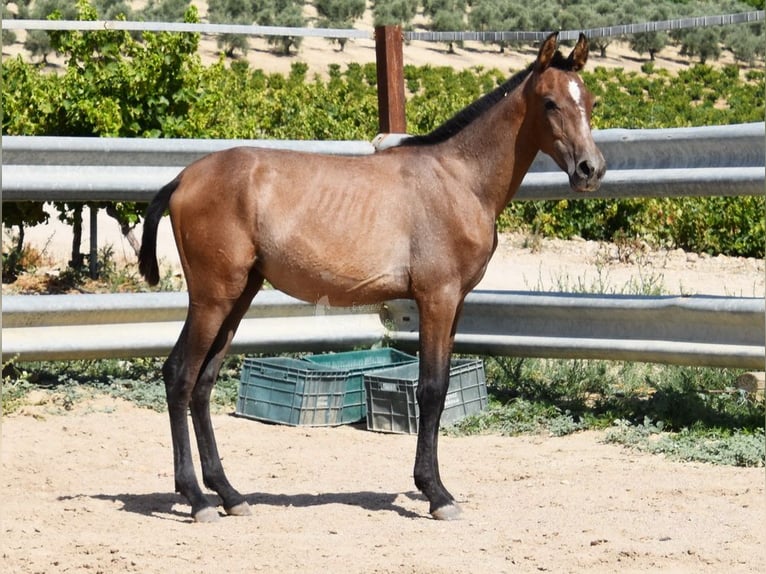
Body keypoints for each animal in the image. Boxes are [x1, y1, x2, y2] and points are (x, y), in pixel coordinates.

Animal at [138, 32, 608, 528]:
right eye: (550, 103)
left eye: (590, 100)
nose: (590, 170)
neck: (458, 179)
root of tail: (184, 178)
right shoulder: (436, 299)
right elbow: (431, 389)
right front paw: (436, 494)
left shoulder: (456, 303)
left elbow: (438, 385)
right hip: (212, 299)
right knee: (180, 375)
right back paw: (197, 498)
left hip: (239, 296)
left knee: (203, 383)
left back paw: (230, 494)